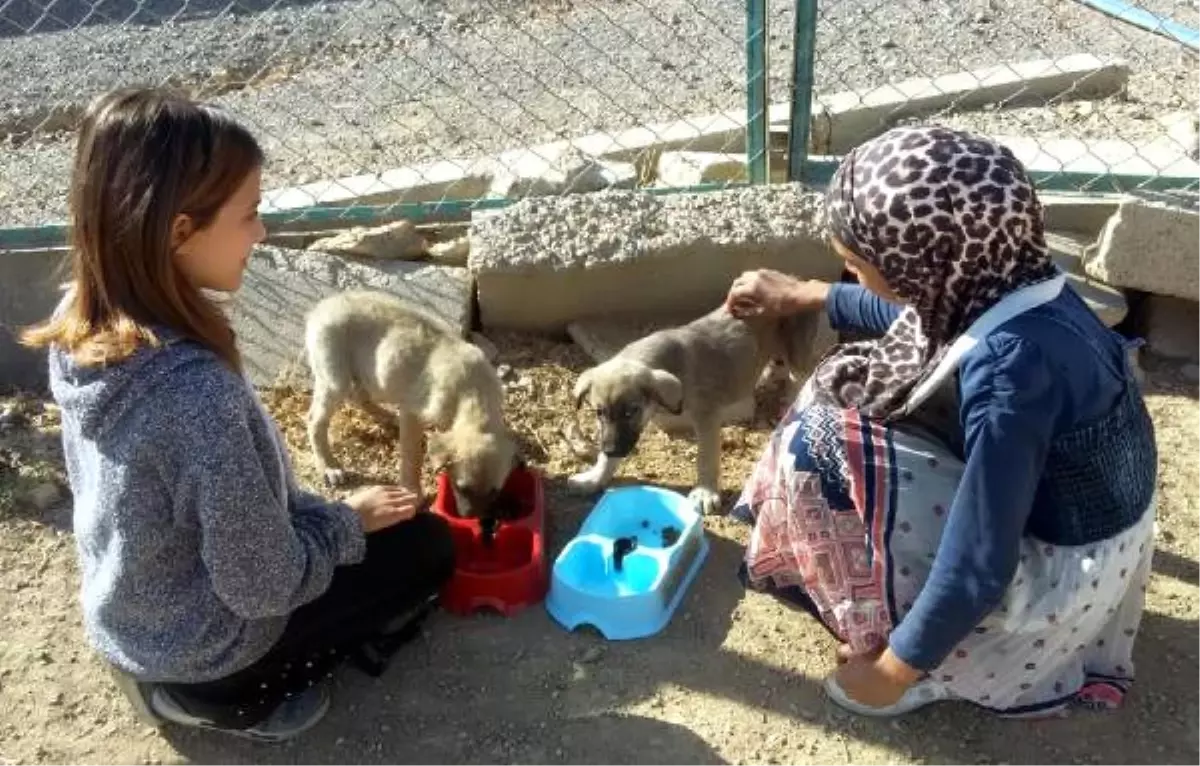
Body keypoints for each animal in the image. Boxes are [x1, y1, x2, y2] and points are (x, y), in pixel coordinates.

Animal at [302, 290, 518, 518]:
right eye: (462, 488)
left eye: (494, 492)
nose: (471, 518)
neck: (474, 394)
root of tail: (321, 308)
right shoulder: (412, 413)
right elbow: (412, 457)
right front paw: (413, 492)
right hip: (335, 377)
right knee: (315, 420)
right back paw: (328, 466)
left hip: (369, 376)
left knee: (358, 397)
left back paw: (386, 417)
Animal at [566, 306, 820, 516]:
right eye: (599, 412)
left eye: (631, 411)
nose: (610, 450)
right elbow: (608, 458)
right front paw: (595, 478)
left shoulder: (707, 417)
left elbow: (706, 458)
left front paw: (706, 492)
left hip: (797, 354)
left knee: (801, 380)